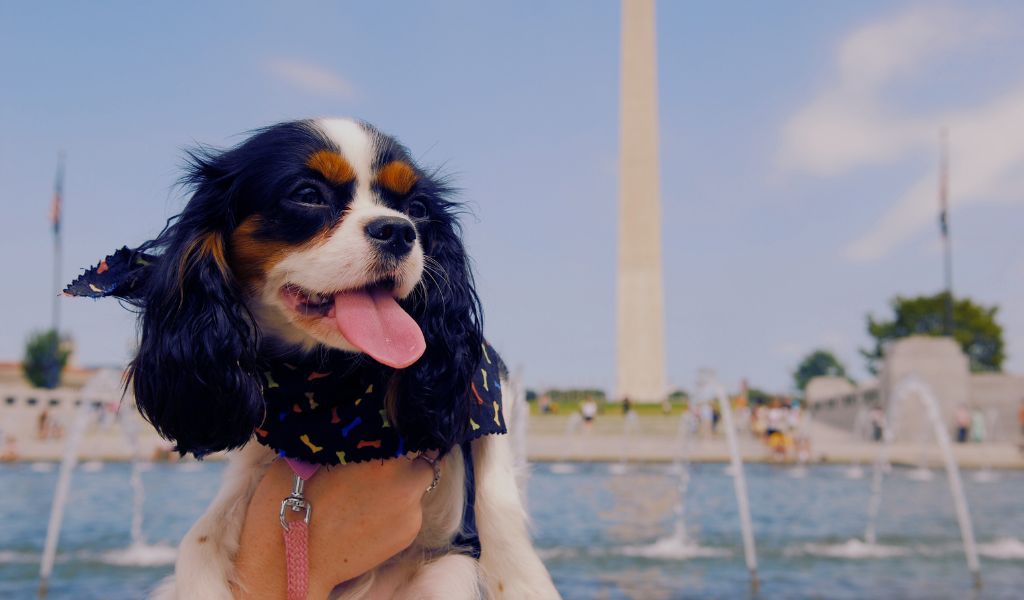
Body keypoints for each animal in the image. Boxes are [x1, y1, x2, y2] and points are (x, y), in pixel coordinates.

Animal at [72, 117, 561, 597]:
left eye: (419, 208)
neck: (327, 389)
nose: (399, 229)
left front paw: (521, 577)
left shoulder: (487, 399)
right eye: (307, 195)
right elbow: (201, 538)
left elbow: (503, 528)